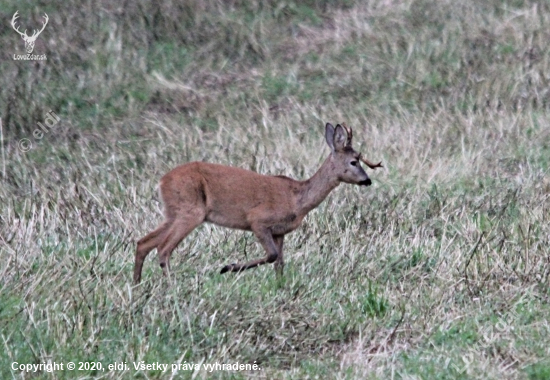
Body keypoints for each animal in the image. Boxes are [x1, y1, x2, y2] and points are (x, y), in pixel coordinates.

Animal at [135, 123, 384, 284]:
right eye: (353, 162)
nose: (367, 180)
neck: (297, 199)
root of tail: (162, 181)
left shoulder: (280, 231)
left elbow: (280, 263)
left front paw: (280, 288)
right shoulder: (258, 220)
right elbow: (272, 256)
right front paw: (228, 268)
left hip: (173, 212)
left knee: (143, 242)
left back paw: (138, 287)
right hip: (190, 211)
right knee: (163, 248)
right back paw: (170, 287)